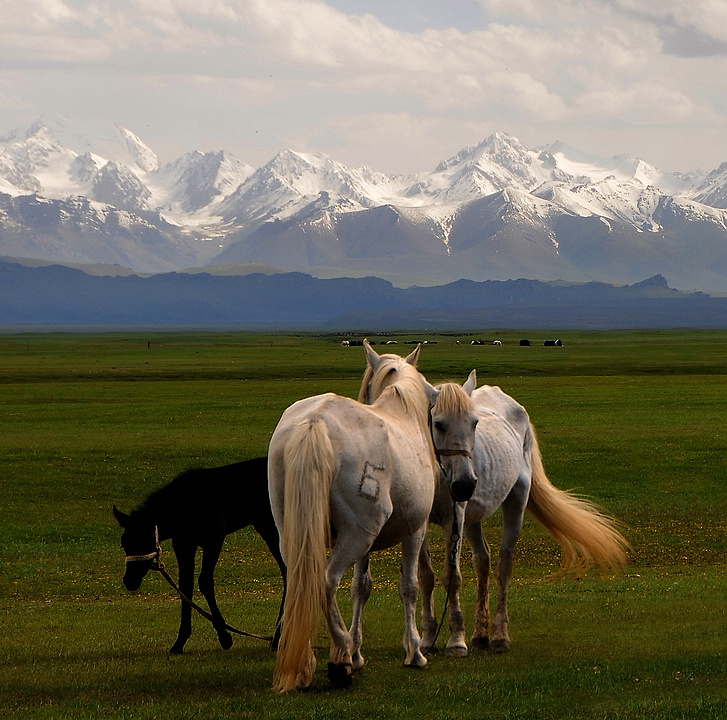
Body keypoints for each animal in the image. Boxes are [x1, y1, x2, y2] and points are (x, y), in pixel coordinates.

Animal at [112, 458, 286, 656]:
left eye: (145, 541)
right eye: (124, 543)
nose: (129, 581)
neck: (187, 503)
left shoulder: (214, 539)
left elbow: (205, 581)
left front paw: (225, 636)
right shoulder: (183, 545)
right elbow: (185, 586)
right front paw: (179, 642)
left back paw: (278, 637)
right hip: (265, 526)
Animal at [270, 340, 480, 696]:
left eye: (474, 423)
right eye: (439, 423)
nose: (464, 485)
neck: (406, 412)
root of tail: (314, 422)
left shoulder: (365, 547)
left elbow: (361, 587)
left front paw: (358, 652)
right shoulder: (414, 530)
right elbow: (409, 586)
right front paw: (414, 652)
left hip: (295, 533)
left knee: (303, 581)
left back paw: (307, 664)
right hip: (357, 535)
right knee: (325, 581)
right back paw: (339, 658)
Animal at [416, 386, 632, 656]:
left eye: (475, 423)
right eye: (438, 424)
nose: (464, 485)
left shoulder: (454, 518)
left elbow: (452, 577)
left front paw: (456, 641)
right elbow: (426, 576)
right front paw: (427, 640)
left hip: (515, 500)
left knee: (504, 564)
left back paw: (500, 637)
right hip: (474, 515)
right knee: (483, 560)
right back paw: (480, 635)